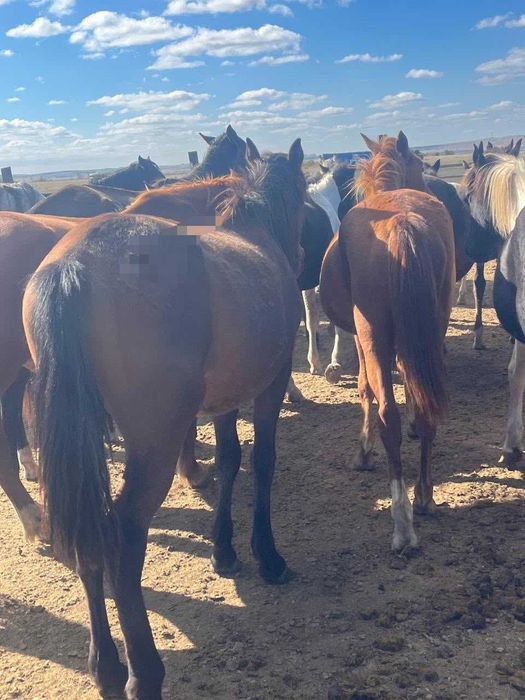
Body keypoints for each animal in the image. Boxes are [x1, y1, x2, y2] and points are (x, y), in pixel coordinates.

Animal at [23, 140, 306, 699]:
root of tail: (74, 267)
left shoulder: (224, 399)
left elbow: (229, 459)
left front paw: (224, 551)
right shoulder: (269, 384)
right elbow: (261, 461)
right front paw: (266, 556)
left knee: (91, 536)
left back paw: (107, 668)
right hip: (152, 445)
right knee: (124, 538)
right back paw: (144, 672)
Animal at [319, 132, 455, 551]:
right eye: (421, 166)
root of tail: (400, 221)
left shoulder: (364, 340)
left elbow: (366, 389)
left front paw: (363, 451)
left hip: (373, 335)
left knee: (386, 416)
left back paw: (403, 524)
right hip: (434, 326)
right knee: (427, 411)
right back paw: (424, 496)